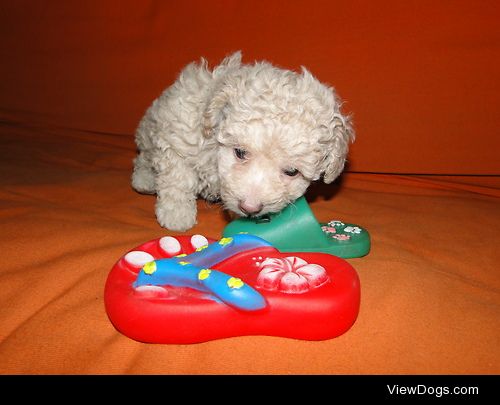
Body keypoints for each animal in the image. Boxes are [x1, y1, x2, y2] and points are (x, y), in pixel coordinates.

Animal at [131, 52, 354, 230]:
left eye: (292, 172)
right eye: (239, 152)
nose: (250, 207)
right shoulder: (177, 137)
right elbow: (178, 178)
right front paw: (177, 215)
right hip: (148, 132)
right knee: (143, 159)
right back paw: (144, 180)